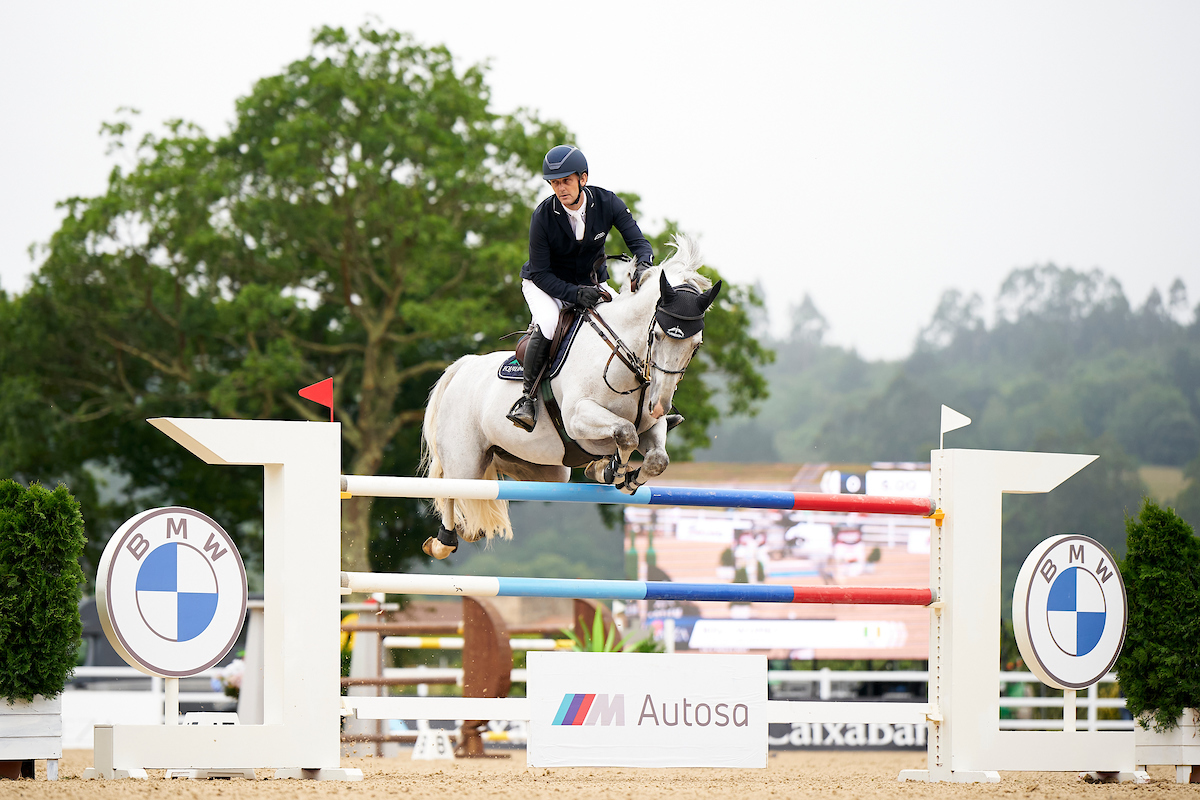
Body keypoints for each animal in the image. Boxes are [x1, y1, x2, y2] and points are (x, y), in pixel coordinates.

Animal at [420, 235, 720, 561]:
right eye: (657, 336)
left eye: (696, 345)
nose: (660, 404)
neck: (624, 358)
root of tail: (462, 366)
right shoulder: (579, 419)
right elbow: (625, 434)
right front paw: (613, 470)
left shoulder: (652, 426)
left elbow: (657, 459)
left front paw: (612, 472)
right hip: (465, 461)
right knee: (451, 489)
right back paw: (443, 541)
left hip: (548, 469)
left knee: (503, 469)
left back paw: (471, 528)